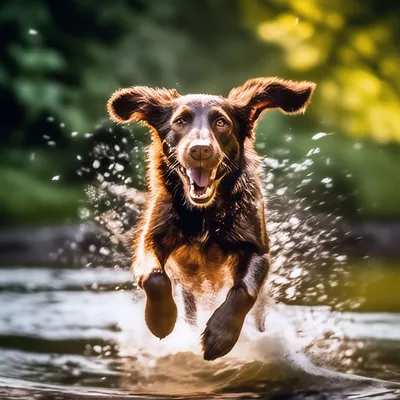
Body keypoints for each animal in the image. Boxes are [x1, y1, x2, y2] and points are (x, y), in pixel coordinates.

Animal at [106, 77, 316, 360]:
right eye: (180, 121)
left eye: (221, 123)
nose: (201, 150)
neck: (205, 214)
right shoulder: (150, 241)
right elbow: (155, 277)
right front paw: (161, 319)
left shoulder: (257, 250)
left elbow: (244, 291)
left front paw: (220, 336)